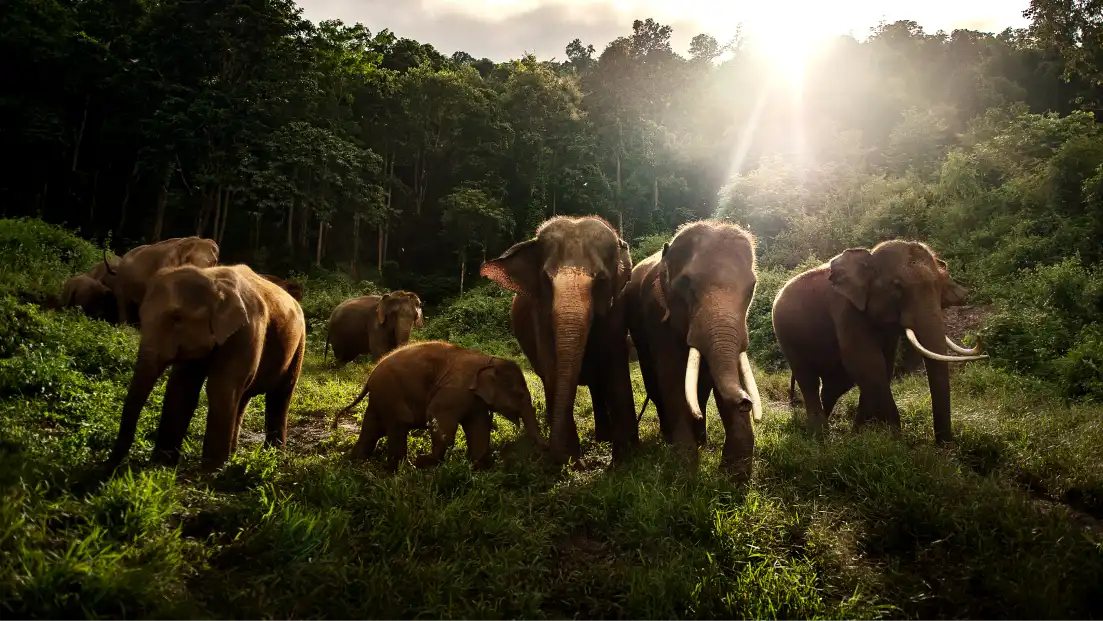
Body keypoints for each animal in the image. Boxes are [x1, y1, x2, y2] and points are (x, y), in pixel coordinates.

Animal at [104, 263, 306, 472]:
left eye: (177, 318)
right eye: (141, 315)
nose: (108, 468)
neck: (213, 278)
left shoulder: (247, 330)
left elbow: (220, 387)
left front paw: (211, 471)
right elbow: (182, 388)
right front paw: (161, 466)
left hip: (299, 342)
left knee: (280, 394)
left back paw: (273, 457)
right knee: (242, 396)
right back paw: (233, 455)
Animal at [335, 340, 543, 471]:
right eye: (519, 395)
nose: (538, 451)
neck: (489, 360)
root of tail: (370, 377)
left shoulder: (476, 401)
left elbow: (479, 428)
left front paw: (479, 467)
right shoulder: (456, 390)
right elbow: (438, 417)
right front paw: (427, 462)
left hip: (380, 398)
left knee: (372, 429)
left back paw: (356, 462)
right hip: (391, 393)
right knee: (398, 426)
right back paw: (402, 468)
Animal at [480, 215, 638, 467]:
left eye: (601, 280)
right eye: (546, 279)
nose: (552, 453)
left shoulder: (616, 311)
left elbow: (615, 369)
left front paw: (623, 462)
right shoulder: (539, 315)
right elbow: (553, 368)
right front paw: (573, 460)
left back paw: (602, 438)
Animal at [625, 220, 763, 477]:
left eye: (751, 288)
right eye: (686, 285)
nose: (745, 402)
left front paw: (734, 477)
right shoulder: (658, 316)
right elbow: (672, 378)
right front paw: (684, 471)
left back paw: (701, 440)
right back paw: (670, 438)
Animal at [772, 240, 986, 443]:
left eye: (940, 287)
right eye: (897, 287)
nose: (944, 444)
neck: (869, 256)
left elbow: (883, 366)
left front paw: (859, 435)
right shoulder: (847, 310)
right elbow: (867, 364)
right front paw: (895, 439)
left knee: (836, 383)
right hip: (786, 336)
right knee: (808, 378)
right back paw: (819, 434)